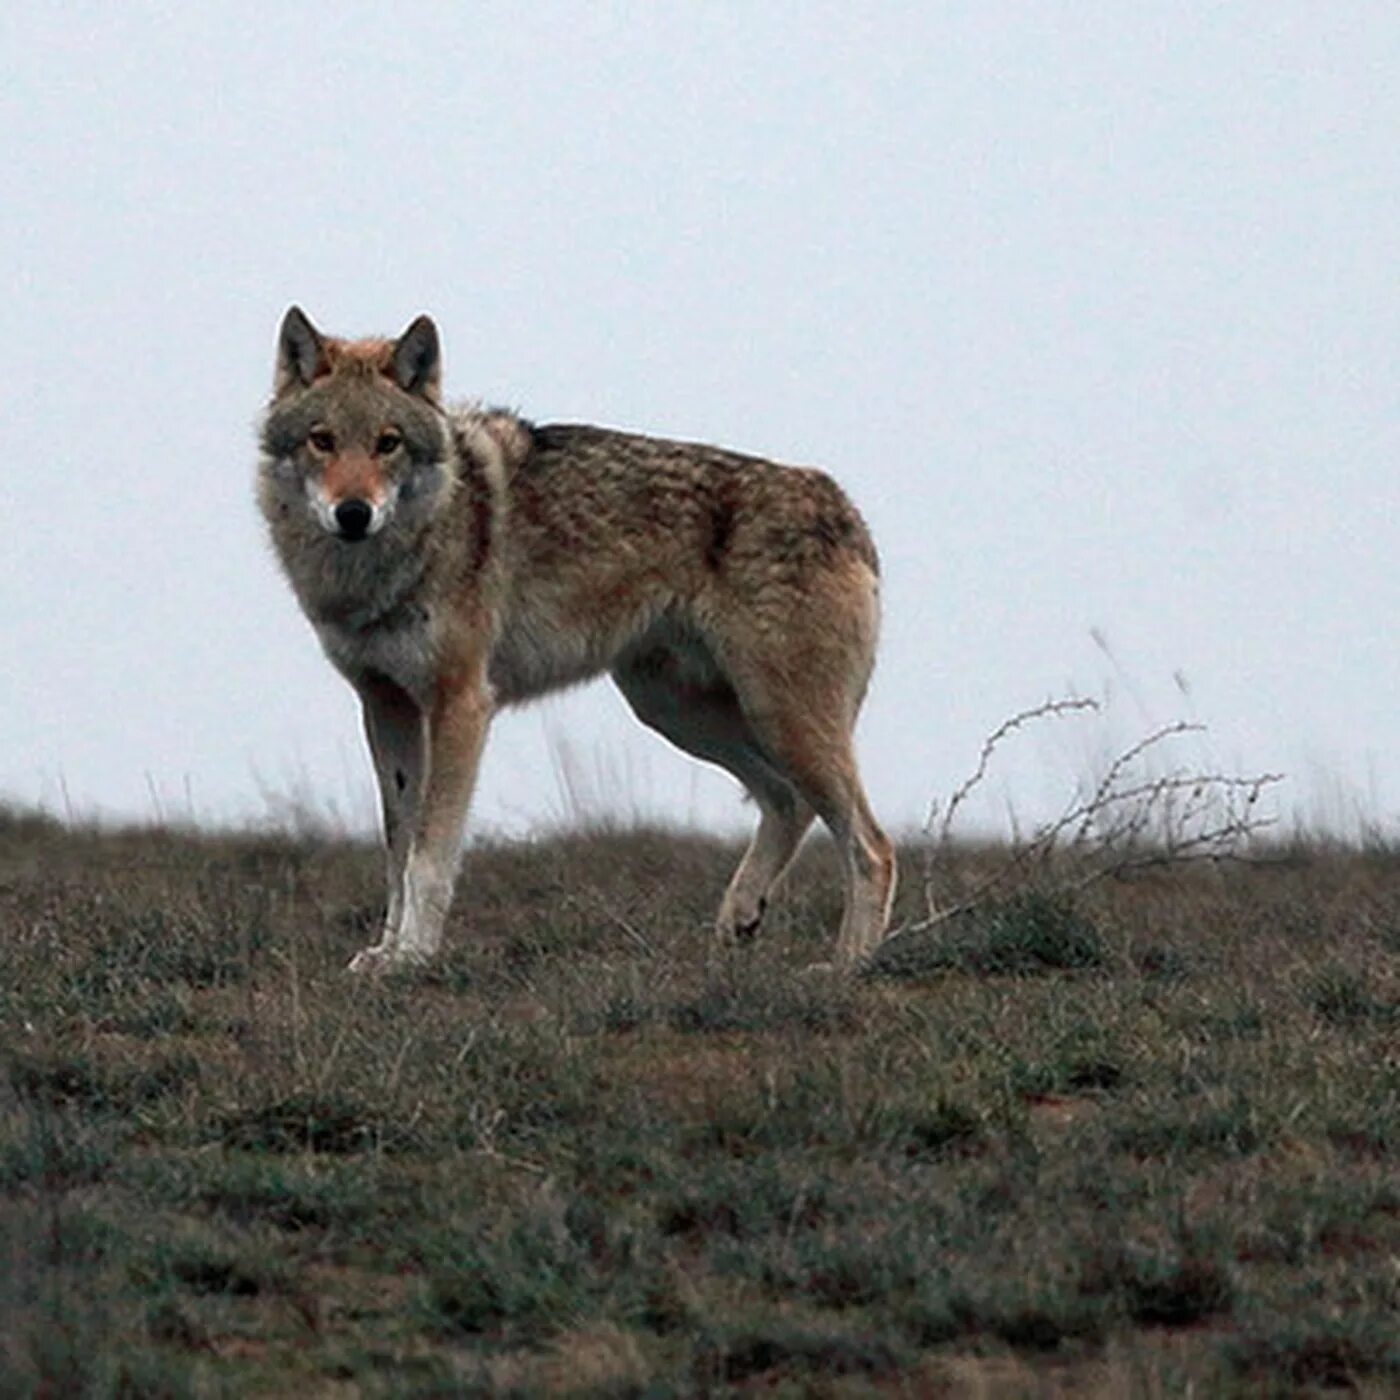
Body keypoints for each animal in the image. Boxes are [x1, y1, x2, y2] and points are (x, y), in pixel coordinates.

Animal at [260, 308, 896, 968]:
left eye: (388, 443)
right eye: (322, 440)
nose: (353, 513)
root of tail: (842, 505)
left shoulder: (460, 705)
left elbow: (429, 855)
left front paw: (413, 957)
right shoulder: (386, 706)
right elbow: (397, 849)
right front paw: (385, 953)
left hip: (778, 719)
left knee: (872, 847)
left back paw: (846, 964)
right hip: (676, 711)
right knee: (787, 802)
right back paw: (737, 923)